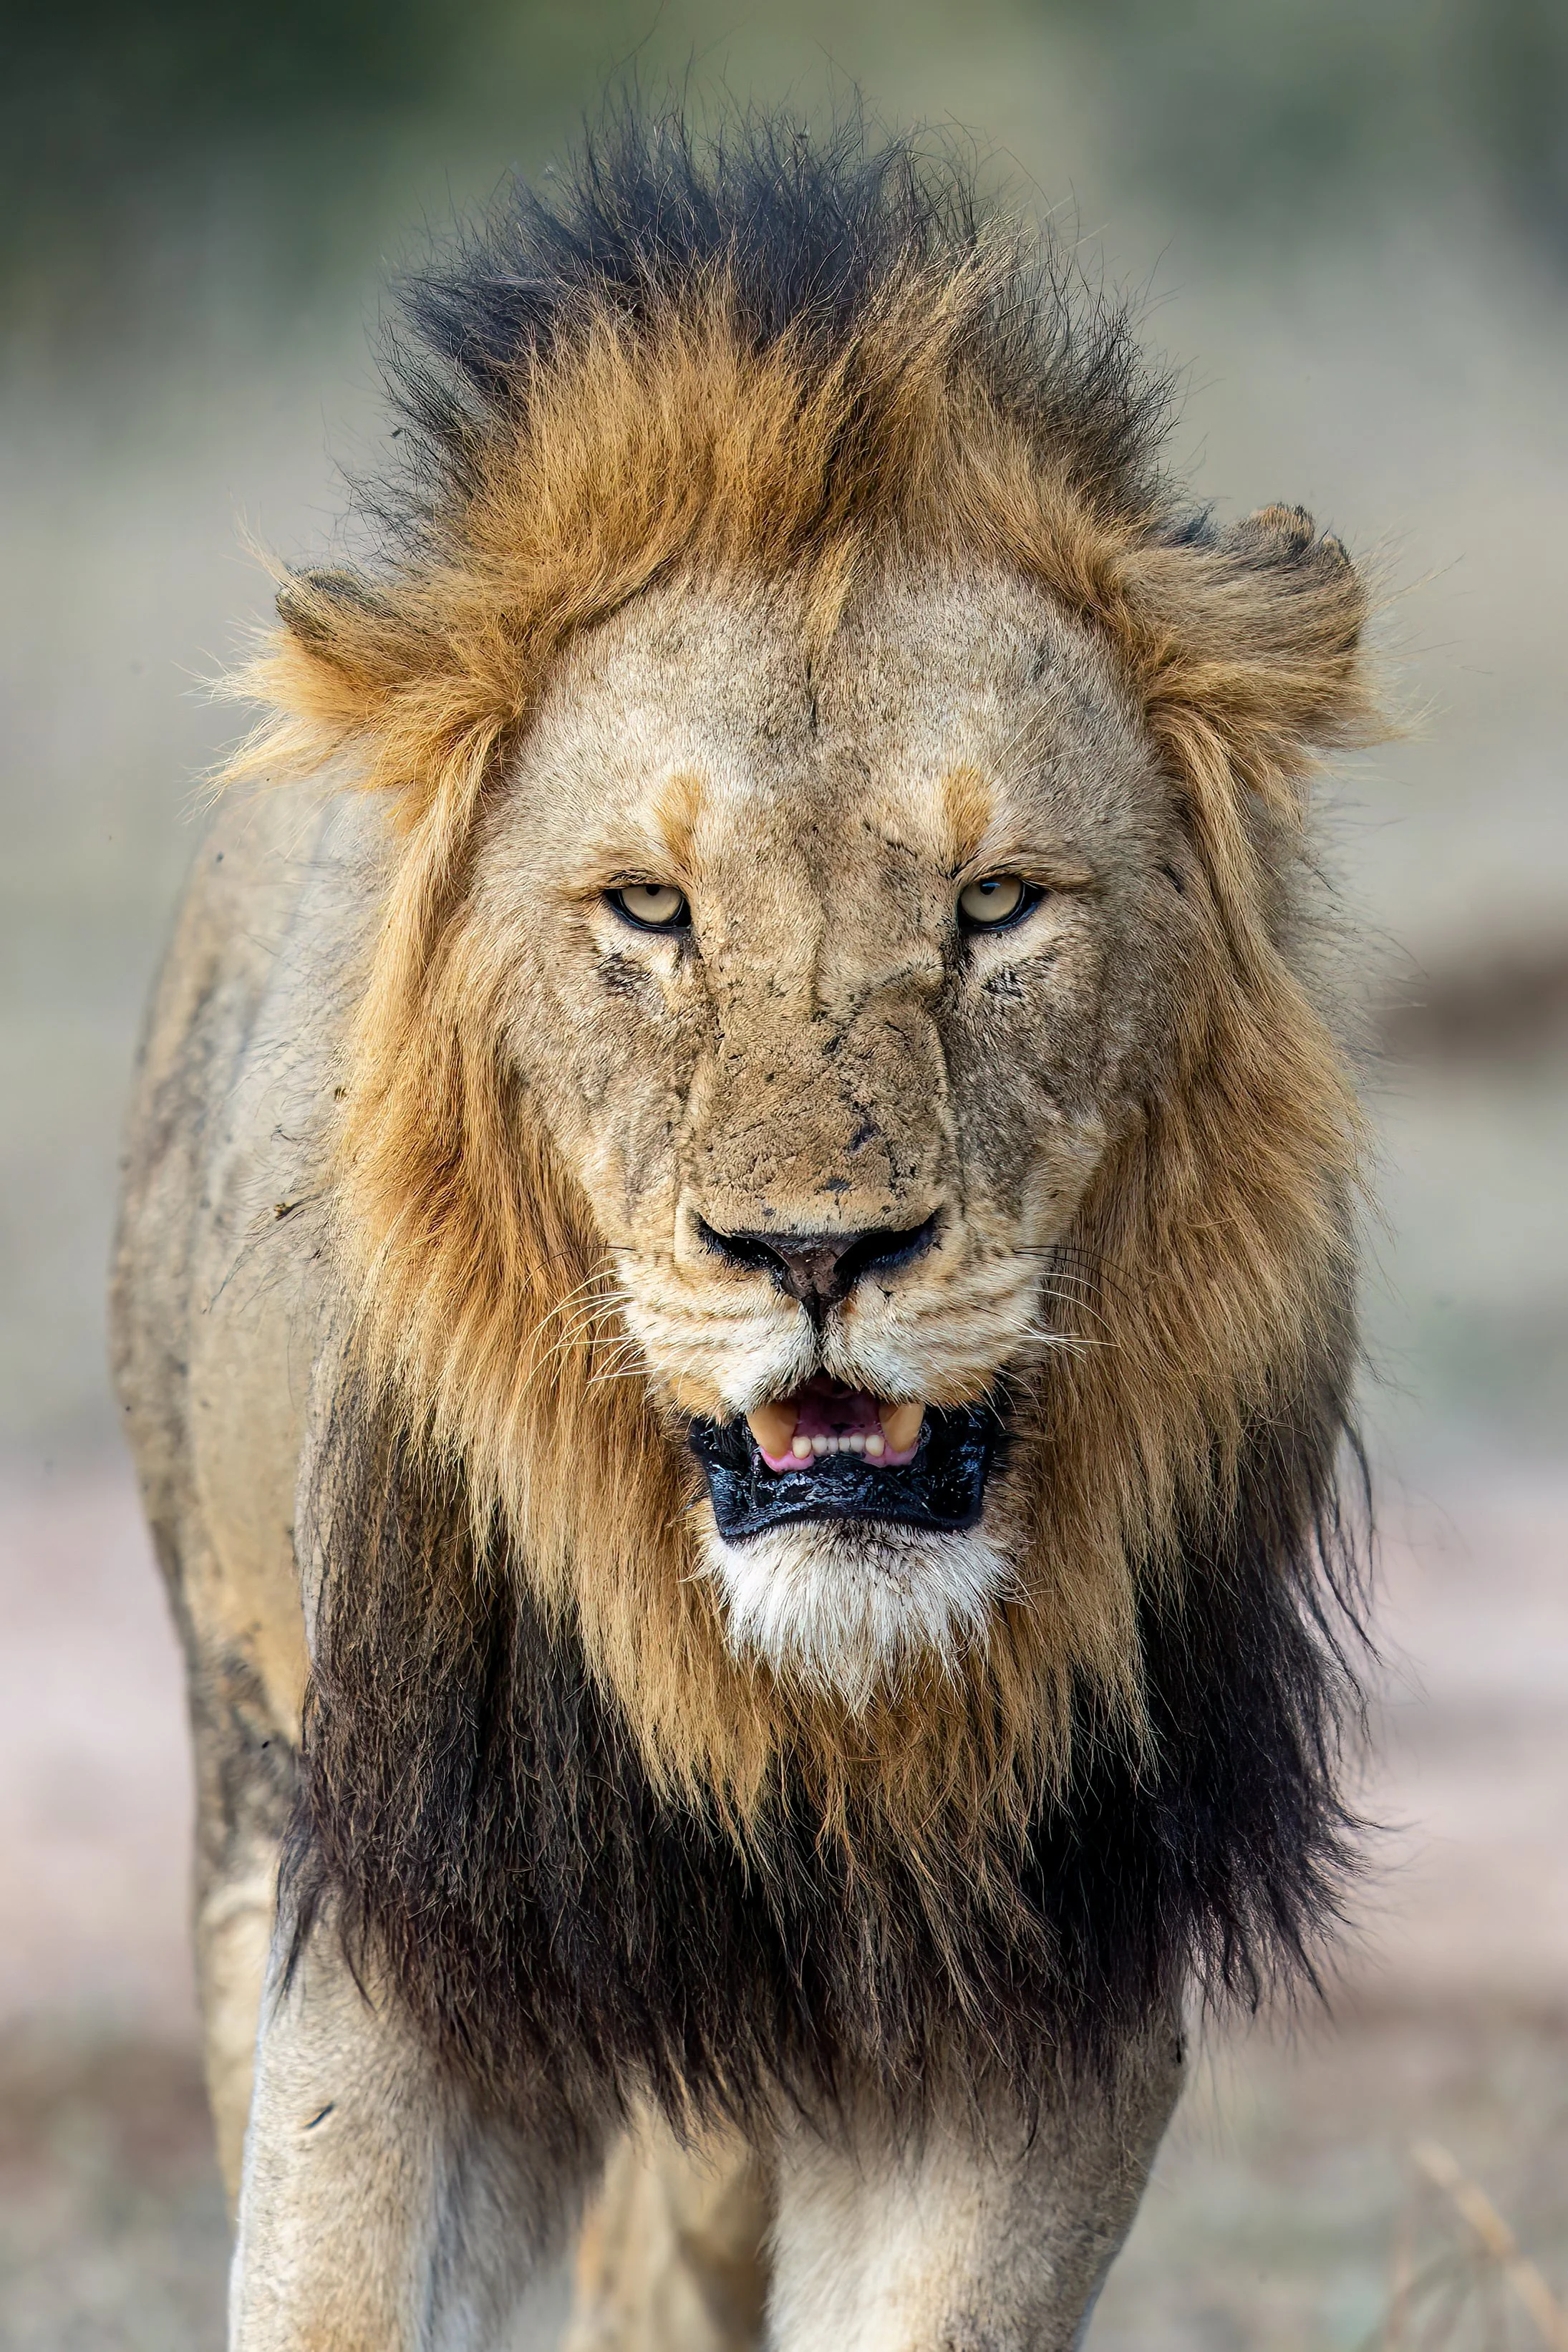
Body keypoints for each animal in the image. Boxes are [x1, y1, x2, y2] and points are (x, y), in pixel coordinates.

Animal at [112, 109, 1377, 2350]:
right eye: (647, 909)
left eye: (994, 904)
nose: (812, 1255)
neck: (799, 1707)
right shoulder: (402, 1929)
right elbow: (332, 2280)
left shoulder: (1049, 1982)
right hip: (247, 1765)